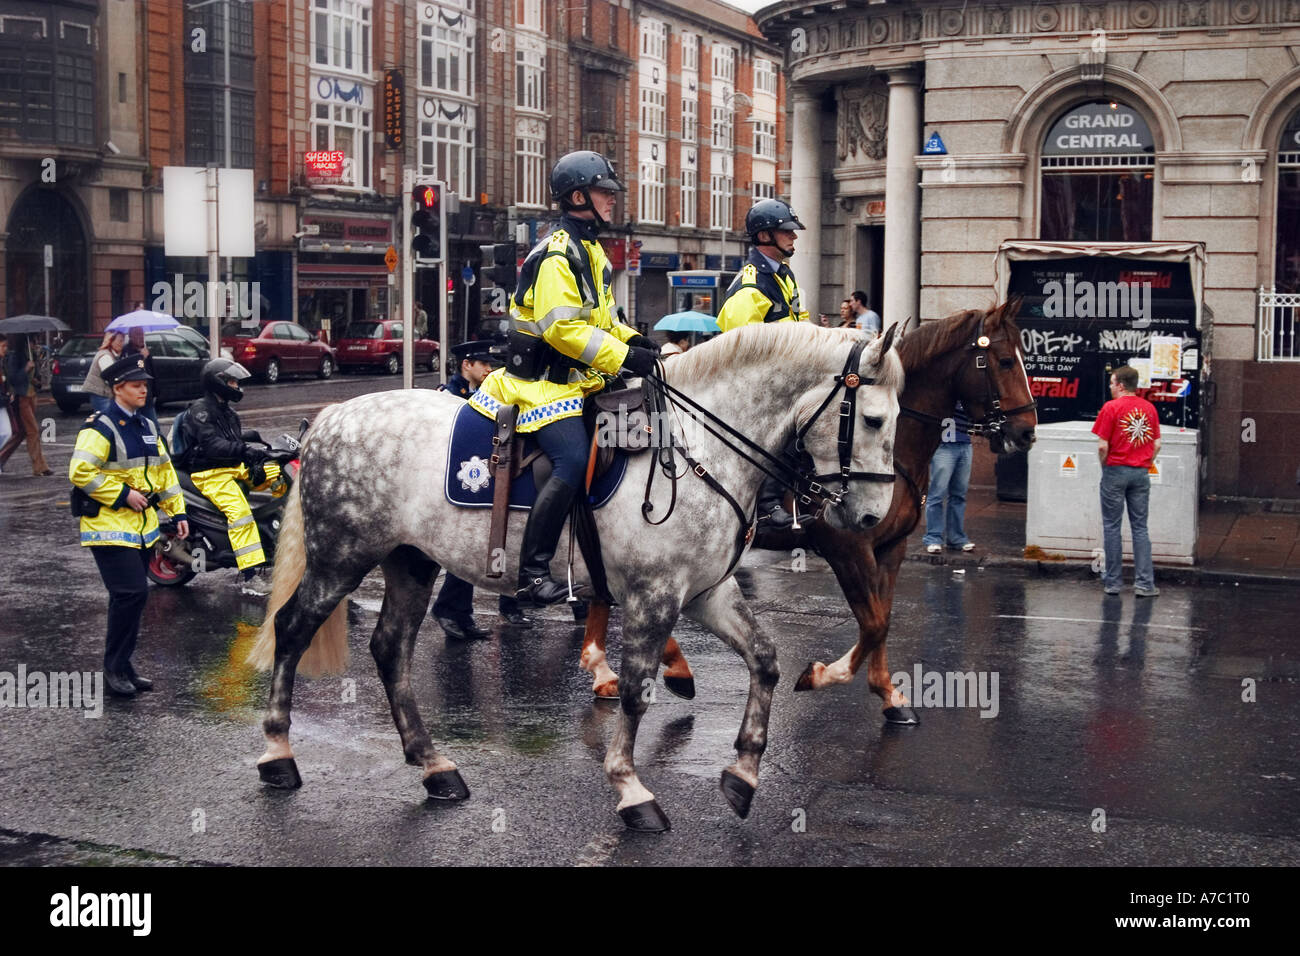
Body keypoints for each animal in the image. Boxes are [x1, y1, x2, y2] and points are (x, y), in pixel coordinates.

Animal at [250, 321, 904, 832]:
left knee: (390, 650)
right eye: (872, 419)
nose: (872, 517)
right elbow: (637, 692)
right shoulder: (654, 596)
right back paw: (278, 752)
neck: (697, 450)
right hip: (341, 558)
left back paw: (435, 766)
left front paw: (743, 772)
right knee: (292, 629)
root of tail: (334, 413)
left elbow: (765, 661)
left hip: (410, 561)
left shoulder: (705, 594)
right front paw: (632, 790)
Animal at [579, 300, 1034, 717]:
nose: (1027, 432)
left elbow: (883, 620)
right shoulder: (847, 547)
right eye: (1006, 360)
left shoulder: (892, 548)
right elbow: (873, 623)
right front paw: (821, 676)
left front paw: (887, 692)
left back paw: (616, 667)